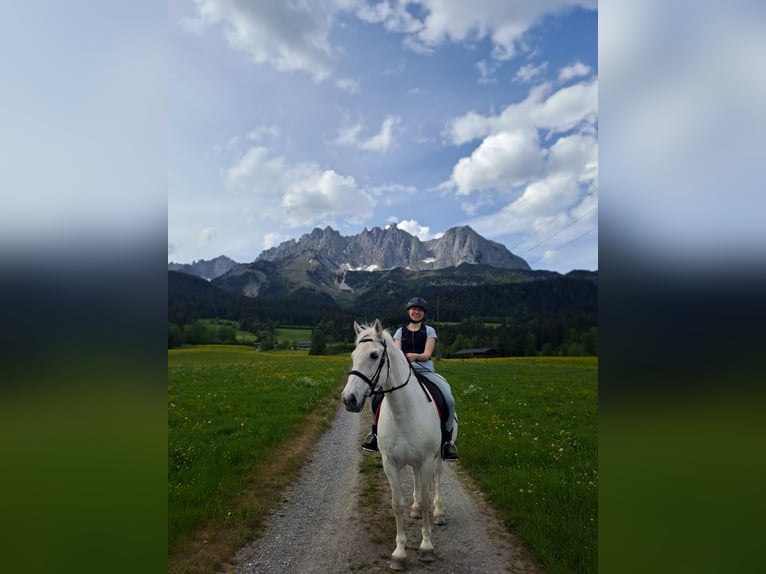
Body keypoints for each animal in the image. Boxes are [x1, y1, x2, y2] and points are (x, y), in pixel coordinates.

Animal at [341, 319, 456, 571]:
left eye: (374, 355)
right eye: (353, 355)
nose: (349, 399)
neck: (403, 410)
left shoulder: (426, 460)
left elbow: (426, 500)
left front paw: (426, 548)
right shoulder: (390, 463)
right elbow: (397, 504)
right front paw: (400, 554)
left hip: (437, 458)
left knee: (437, 479)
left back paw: (439, 513)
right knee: (415, 481)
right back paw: (415, 509)